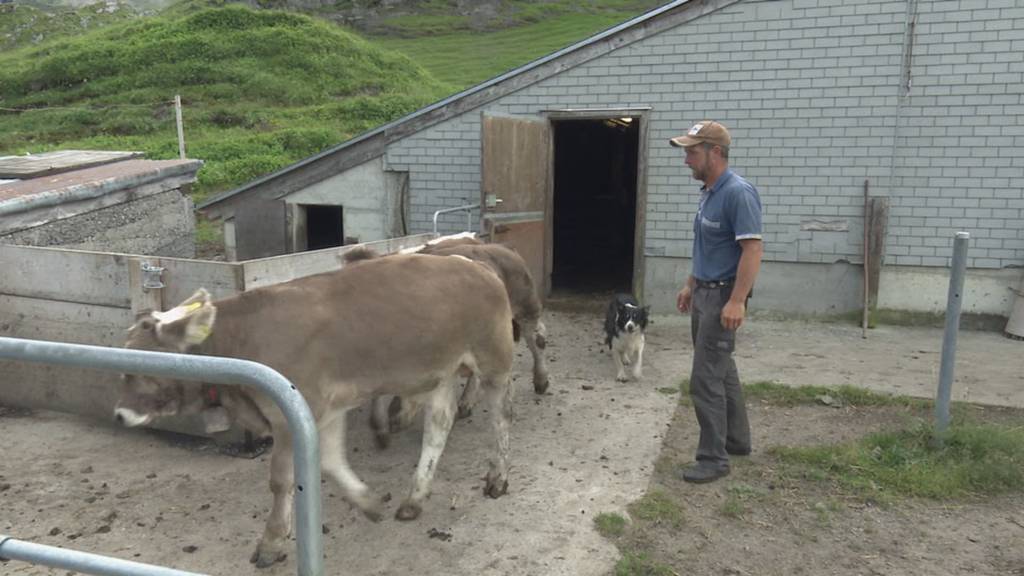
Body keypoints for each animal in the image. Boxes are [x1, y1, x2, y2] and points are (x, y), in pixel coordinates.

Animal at [112, 254, 516, 565]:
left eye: (137, 368)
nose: (119, 415)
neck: (239, 340)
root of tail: (472, 263)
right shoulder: (325, 410)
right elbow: (331, 461)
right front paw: (367, 502)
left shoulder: (289, 415)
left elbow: (281, 480)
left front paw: (272, 542)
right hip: (440, 372)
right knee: (439, 425)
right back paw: (414, 497)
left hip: (493, 358)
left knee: (500, 417)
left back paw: (497, 477)